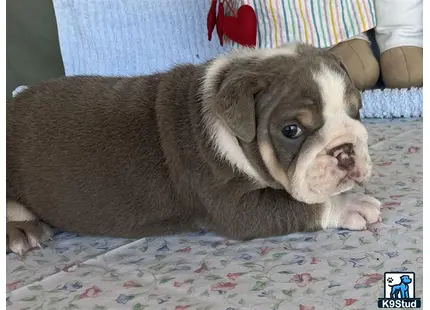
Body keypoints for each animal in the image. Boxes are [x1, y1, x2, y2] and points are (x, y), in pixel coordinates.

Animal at [7, 44, 380, 256]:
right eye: (291, 130)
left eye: (356, 111)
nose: (346, 150)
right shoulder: (234, 206)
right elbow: (300, 206)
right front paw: (351, 204)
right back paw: (23, 231)